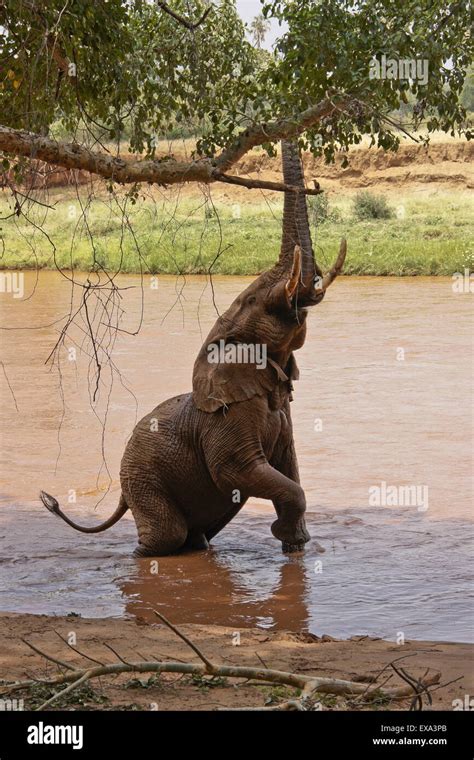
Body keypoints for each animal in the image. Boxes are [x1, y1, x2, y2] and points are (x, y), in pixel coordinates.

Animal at [39, 140, 344, 556]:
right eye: (254, 300)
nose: (314, 184)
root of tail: (121, 492)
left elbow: (289, 467)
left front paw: (297, 549)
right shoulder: (227, 421)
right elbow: (238, 471)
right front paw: (288, 538)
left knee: (193, 539)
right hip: (142, 477)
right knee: (167, 536)